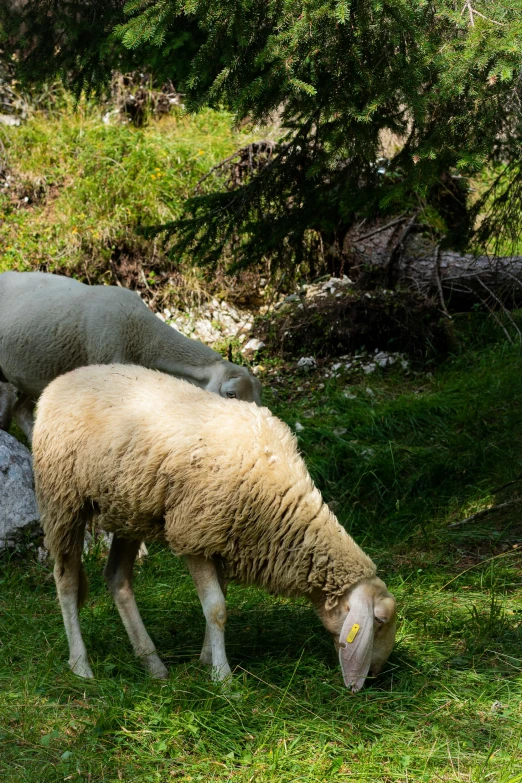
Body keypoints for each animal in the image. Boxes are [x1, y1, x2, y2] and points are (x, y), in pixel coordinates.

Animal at [33, 366, 394, 692]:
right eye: (378, 620)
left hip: (128, 507)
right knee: (66, 580)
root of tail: (64, 378)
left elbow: (219, 601)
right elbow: (217, 608)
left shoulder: (221, 539)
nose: (376, 675)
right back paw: (81, 665)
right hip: (62, 499)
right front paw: (222, 677)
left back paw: (152, 663)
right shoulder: (194, 534)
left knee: (117, 579)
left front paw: (207, 658)